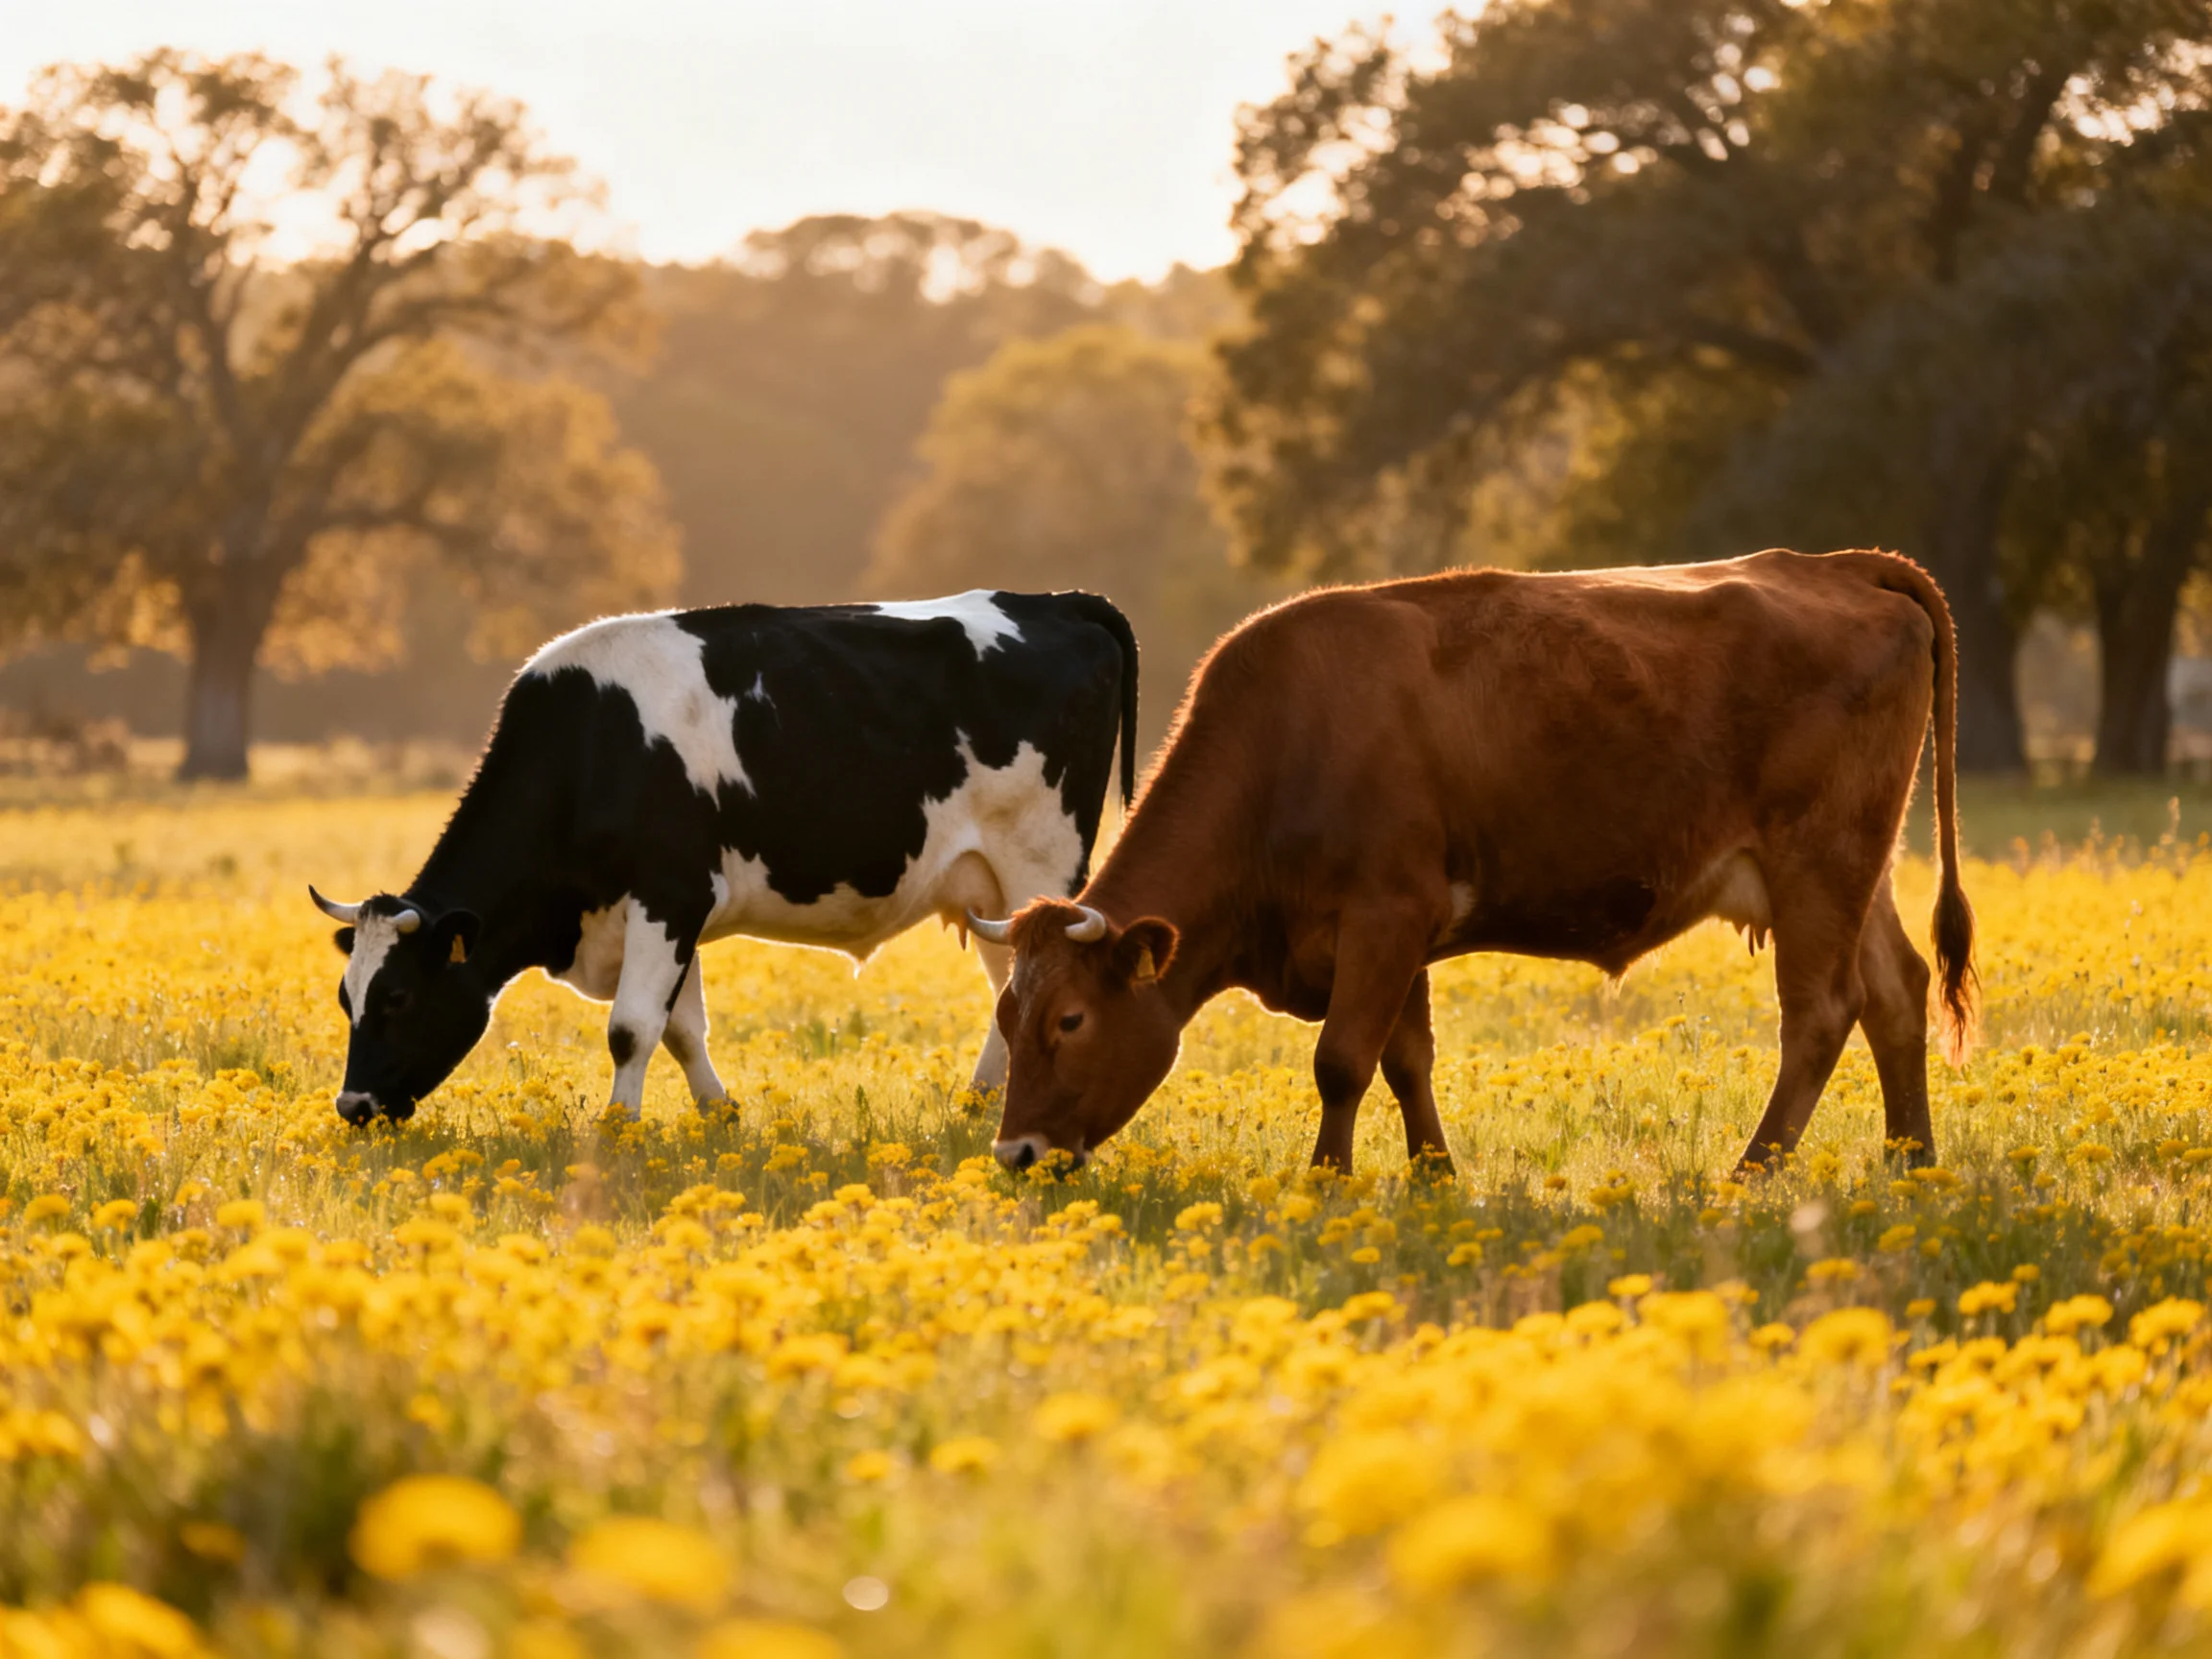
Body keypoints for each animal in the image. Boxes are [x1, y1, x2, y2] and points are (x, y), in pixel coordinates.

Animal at [309, 590, 1137, 1126]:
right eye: (347, 999)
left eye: (397, 998)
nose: (352, 1106)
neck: (590, 749)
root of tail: (1057, 600)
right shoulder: (670, 910)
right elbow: (680, 1028)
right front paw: (719, 1114)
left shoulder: (668, 893)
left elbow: (631, 1027)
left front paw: (618, 1131)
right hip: (989, 888)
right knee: (1008, 991)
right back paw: (981, 1101)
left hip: (1039, 866)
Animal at [974, 550, 1976, 1178]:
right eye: (1006, 1014)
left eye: (1069, 1019)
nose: (1016, 1155)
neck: (1291, 739)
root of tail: (1834, 563)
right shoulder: (1397, 933)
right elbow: (1405, 1061)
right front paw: (1434, 1177)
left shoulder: (1386, 914)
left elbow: (1343, 1062)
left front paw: (1325, 1182)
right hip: (1856, 870)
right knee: (1896, 993)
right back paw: (1912, 1162)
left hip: (1821, 862)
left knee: (1822, 1013)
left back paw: (1754, 1172)